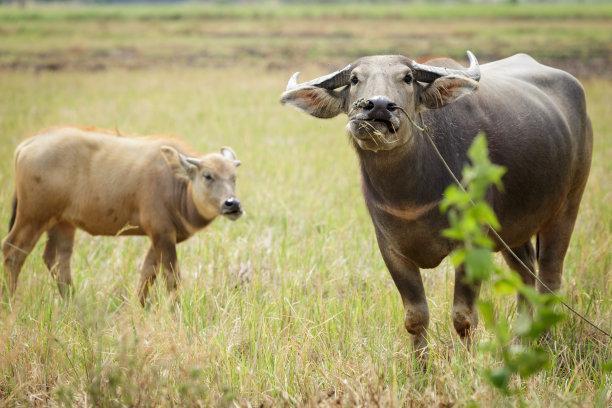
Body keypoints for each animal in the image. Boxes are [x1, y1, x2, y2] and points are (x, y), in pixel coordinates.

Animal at [2, 127, 241, 302]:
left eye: (233, 176)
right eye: (208, 175)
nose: (232, 204)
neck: (176, 185)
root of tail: (26, 145)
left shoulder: (161, 236)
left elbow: (148, 272)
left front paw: (141, 306)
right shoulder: (162, 233)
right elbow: (171, 278)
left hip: (62, 222)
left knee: (57, 259)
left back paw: (72, 301)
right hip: (33, 216)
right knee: (13, 251)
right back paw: (10, 301)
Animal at [282, 52, 592, 356]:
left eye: (407, 77)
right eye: (355, 79)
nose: (378, 106)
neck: (410, 196)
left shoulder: (471, 243)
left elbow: (463, 317)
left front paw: (468, 363)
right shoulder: (391, 249)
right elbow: (415, 317)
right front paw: (421, 366)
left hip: (568, 207)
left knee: (549, 280)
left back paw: (545, 342)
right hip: (514, 232)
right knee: (525, 276)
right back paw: (520, 340)